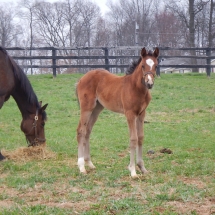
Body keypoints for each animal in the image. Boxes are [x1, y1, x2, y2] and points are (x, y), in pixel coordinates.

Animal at [76, 47, 159, 178]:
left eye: (156, 65)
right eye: (142, 66)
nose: (149, 83)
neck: (136, 88)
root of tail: (81, 79)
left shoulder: (141, 114)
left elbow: (140, 137)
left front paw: (142, 168)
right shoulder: (130, 114)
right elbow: (133, 139)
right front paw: (133, 171)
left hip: (97, 108)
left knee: (88, 131)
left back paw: (90, 163)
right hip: (86, 107)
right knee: (81, 131)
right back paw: (82, 167)